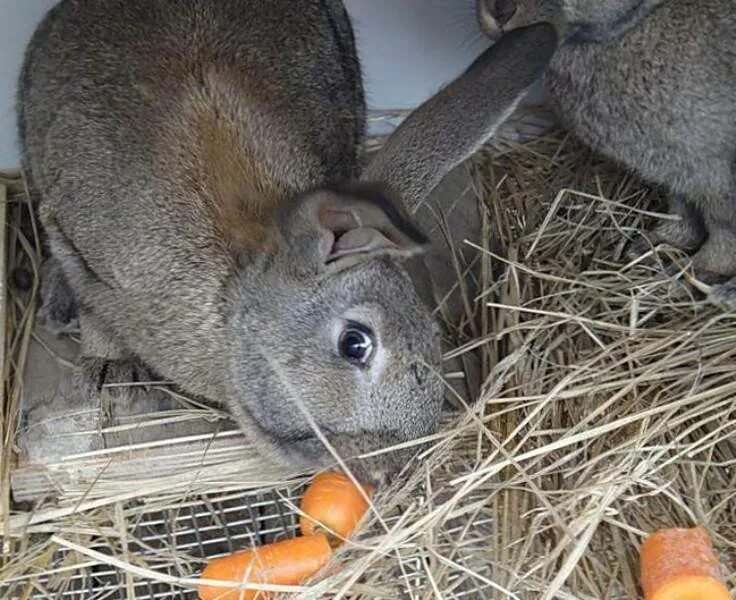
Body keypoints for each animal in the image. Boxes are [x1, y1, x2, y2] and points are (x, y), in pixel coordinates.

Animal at [18, 0, 552, 480]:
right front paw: (110, 372)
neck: (233, 289)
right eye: (355, 343)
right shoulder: (72, 239)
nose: (391, 466)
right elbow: (95, 308)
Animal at [480, 0, 732, 300]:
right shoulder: (680, 173)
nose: (499, 14)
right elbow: (680, 209)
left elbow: (724, 233)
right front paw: (653, 245)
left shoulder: (718, 173)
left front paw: (691, 275)